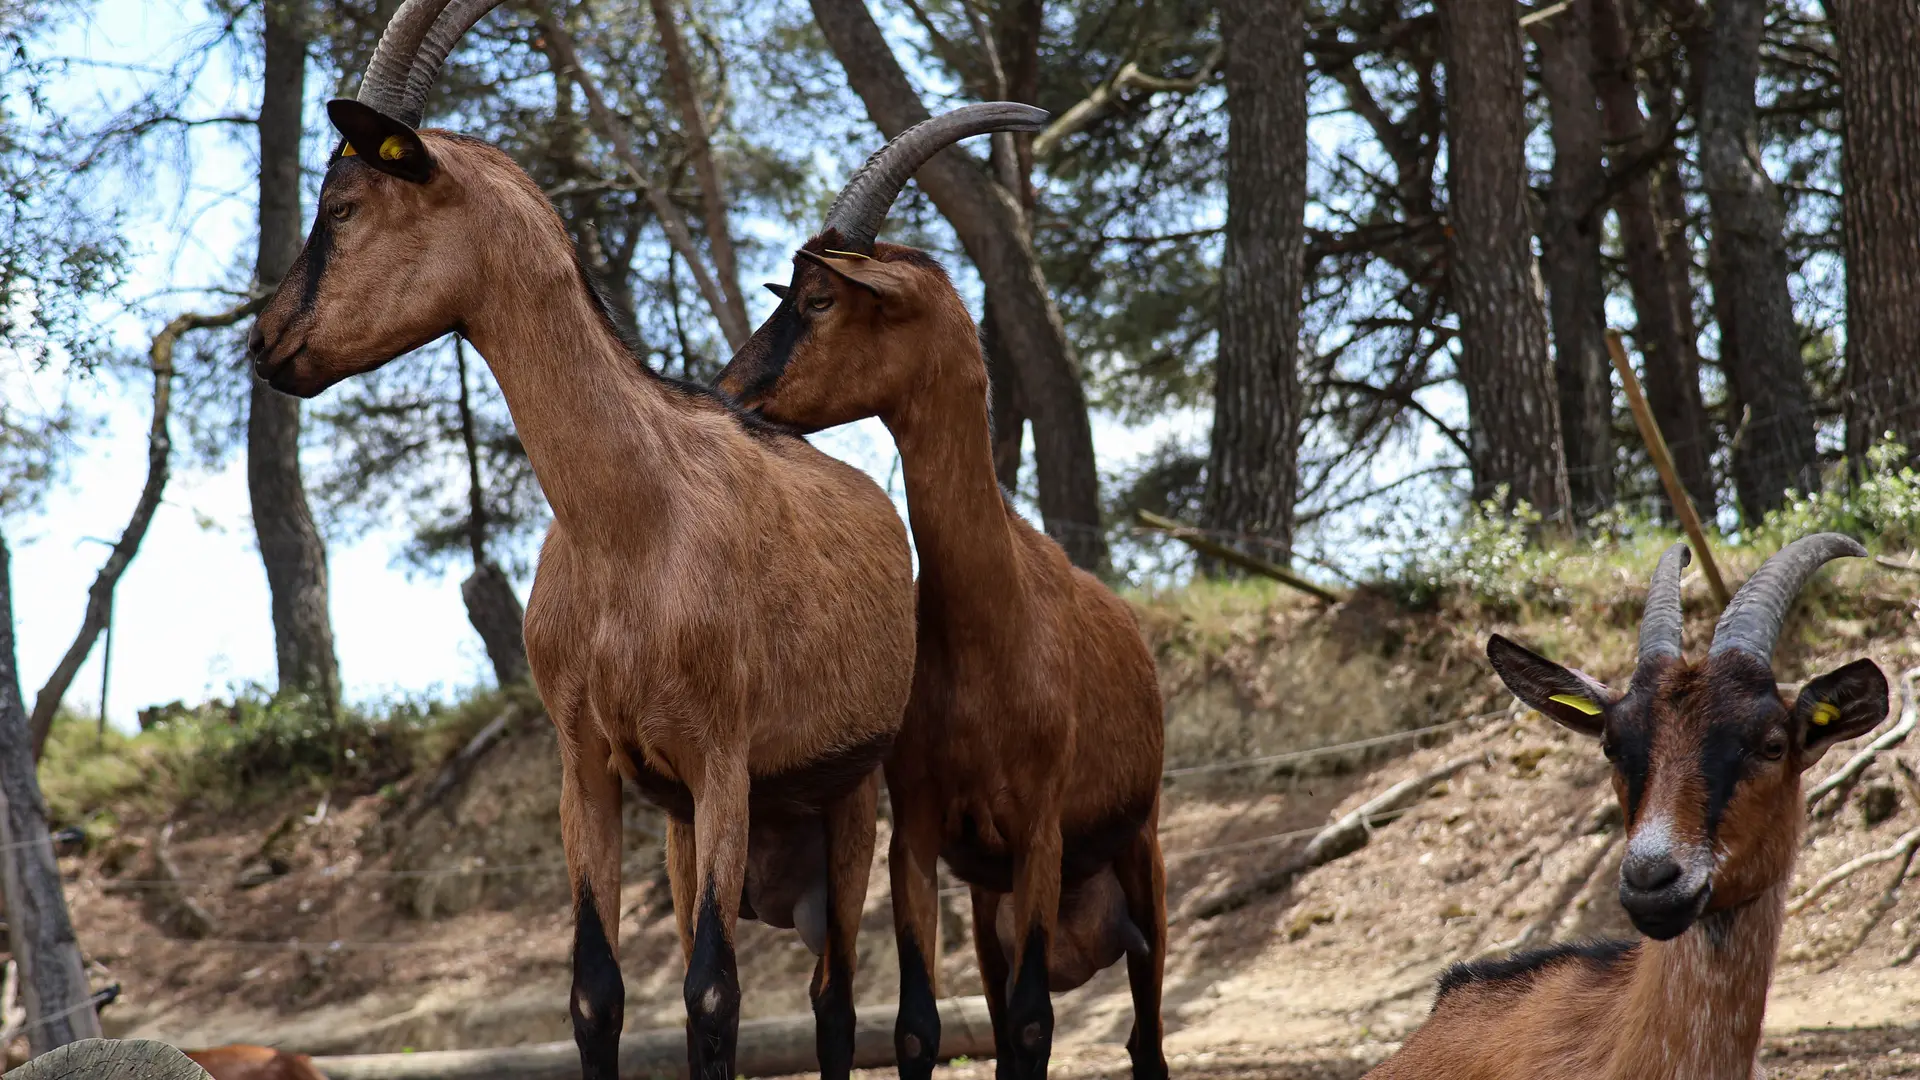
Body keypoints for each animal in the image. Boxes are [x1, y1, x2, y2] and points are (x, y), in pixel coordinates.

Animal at [238, 4, 1036, 1068]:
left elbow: (711, 993)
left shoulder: (725, 760)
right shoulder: (590, 765)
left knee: (834, 999)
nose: (267, 345)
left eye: (344, 206)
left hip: (848, 795)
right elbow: (595, 992)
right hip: (687, 822)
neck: (632, 524)